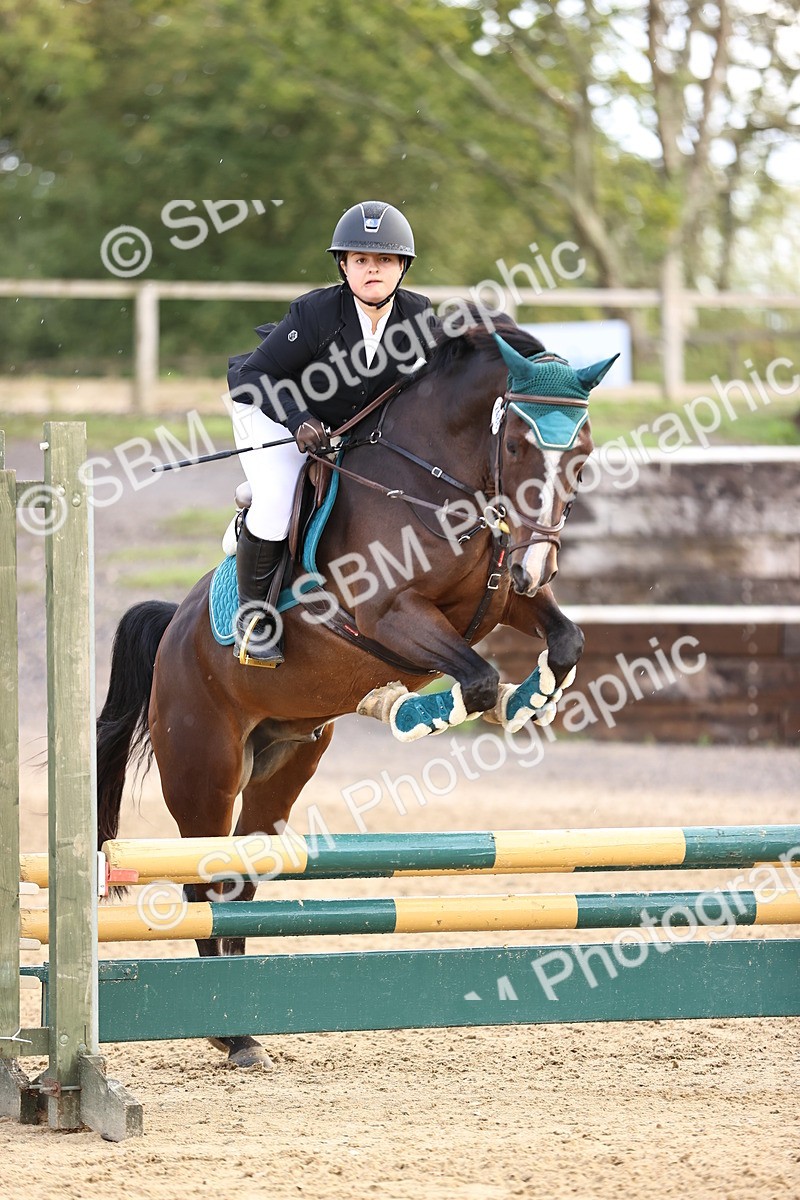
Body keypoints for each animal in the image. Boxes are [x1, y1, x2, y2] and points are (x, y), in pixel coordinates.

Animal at [96, 311, 613, 1068]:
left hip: (281, 766)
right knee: (201, 876)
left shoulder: (494, 598)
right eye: (517, 443)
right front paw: (416, 709)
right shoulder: (392, 614)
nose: (539, 563)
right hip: (202, 770)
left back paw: (240, 1027)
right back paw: (224, 1028)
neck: (441, 481)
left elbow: (563, 639)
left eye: (582, 450)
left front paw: (530, 699)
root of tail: (171, 635)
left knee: (238, 878)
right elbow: (476, 678)